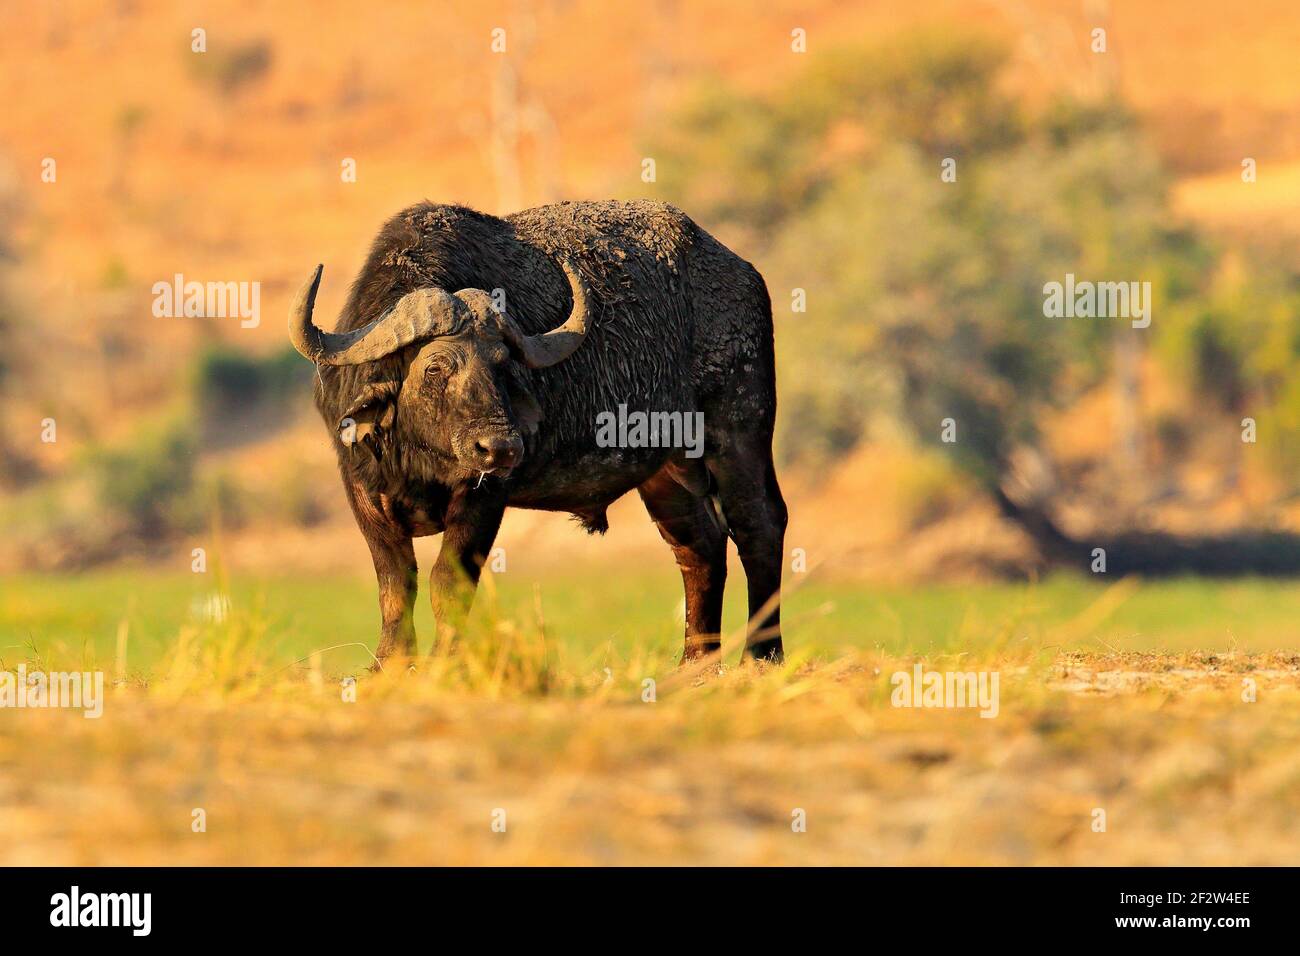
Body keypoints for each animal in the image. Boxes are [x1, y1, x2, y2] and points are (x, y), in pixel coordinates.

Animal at [288, 200, 787, 664]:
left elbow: (448, 581)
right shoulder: (361, 487)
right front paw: (390, 662)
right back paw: (696, 662)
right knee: (700, 545)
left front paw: (444, 661)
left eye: (501, 364)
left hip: (739, 430)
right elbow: (395, 582)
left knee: (758, 523)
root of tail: (745, 276)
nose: (500, 446)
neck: (421, 456)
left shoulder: (485, 495)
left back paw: (761, 655)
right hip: (667, 469)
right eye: (435, 367)